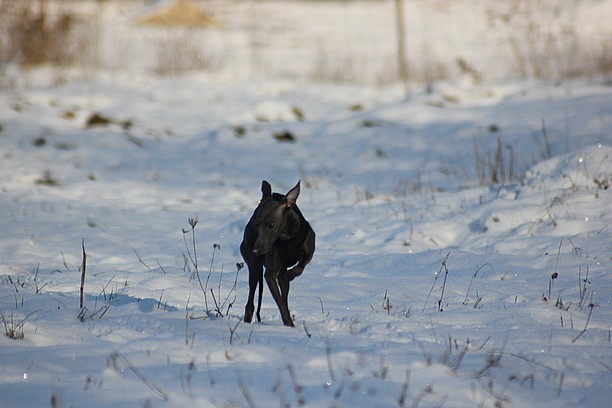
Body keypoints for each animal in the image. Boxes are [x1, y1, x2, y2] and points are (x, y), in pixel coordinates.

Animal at [240, 180, 316, 326]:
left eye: (271, 225)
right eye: (257, 224)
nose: (256, 250)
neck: (287, 237)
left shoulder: (309, 252)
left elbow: (300, 267)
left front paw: (290, 275)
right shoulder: (269, 274)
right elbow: (280, 303)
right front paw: (289, 323)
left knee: (284, 290)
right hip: (254, 266)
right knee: (250, 302)